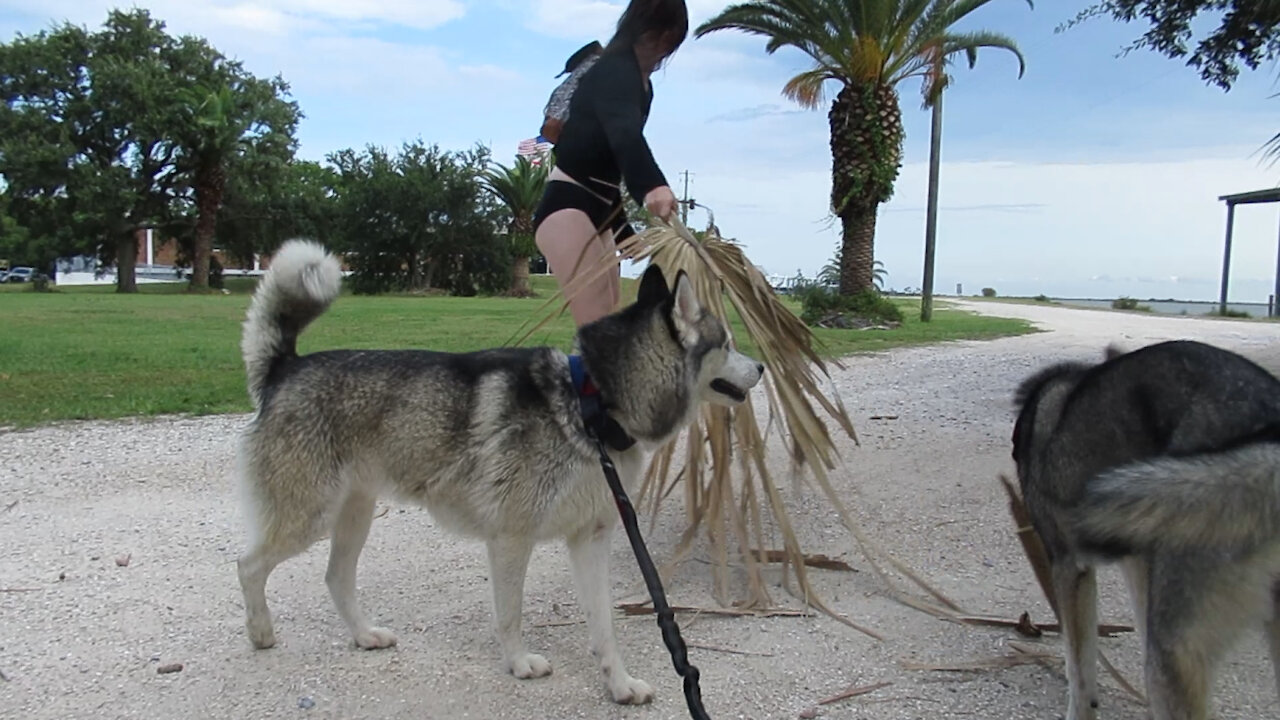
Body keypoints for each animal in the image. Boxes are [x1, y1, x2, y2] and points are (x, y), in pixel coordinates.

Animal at [236, 239, 762, 702]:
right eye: (727, 343)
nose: (759, 368)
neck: (592, 404)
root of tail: (286, 366)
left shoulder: (590, 540)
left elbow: (604, 627)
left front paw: (619, 685)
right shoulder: (511, 538)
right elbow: (510, 614)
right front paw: (519, 663)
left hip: (353, 517)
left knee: (335, 579)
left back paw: (365, 634)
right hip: (308, 517)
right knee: (249, 566)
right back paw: (261, 633)